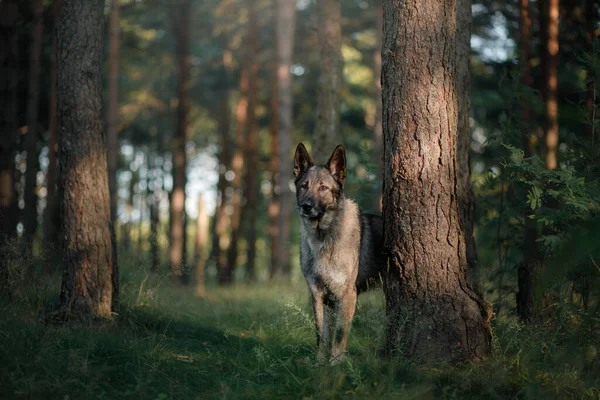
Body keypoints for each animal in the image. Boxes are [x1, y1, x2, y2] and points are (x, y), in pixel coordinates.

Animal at [294, 142, 384, 364]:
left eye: (323, 188)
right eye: (304, 186)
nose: (306, 207)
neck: (324, 238)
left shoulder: (346, 296)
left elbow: (340, 334)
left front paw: (336, 364)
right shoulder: (319, 296)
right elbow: (322, 335)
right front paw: (321, 364)